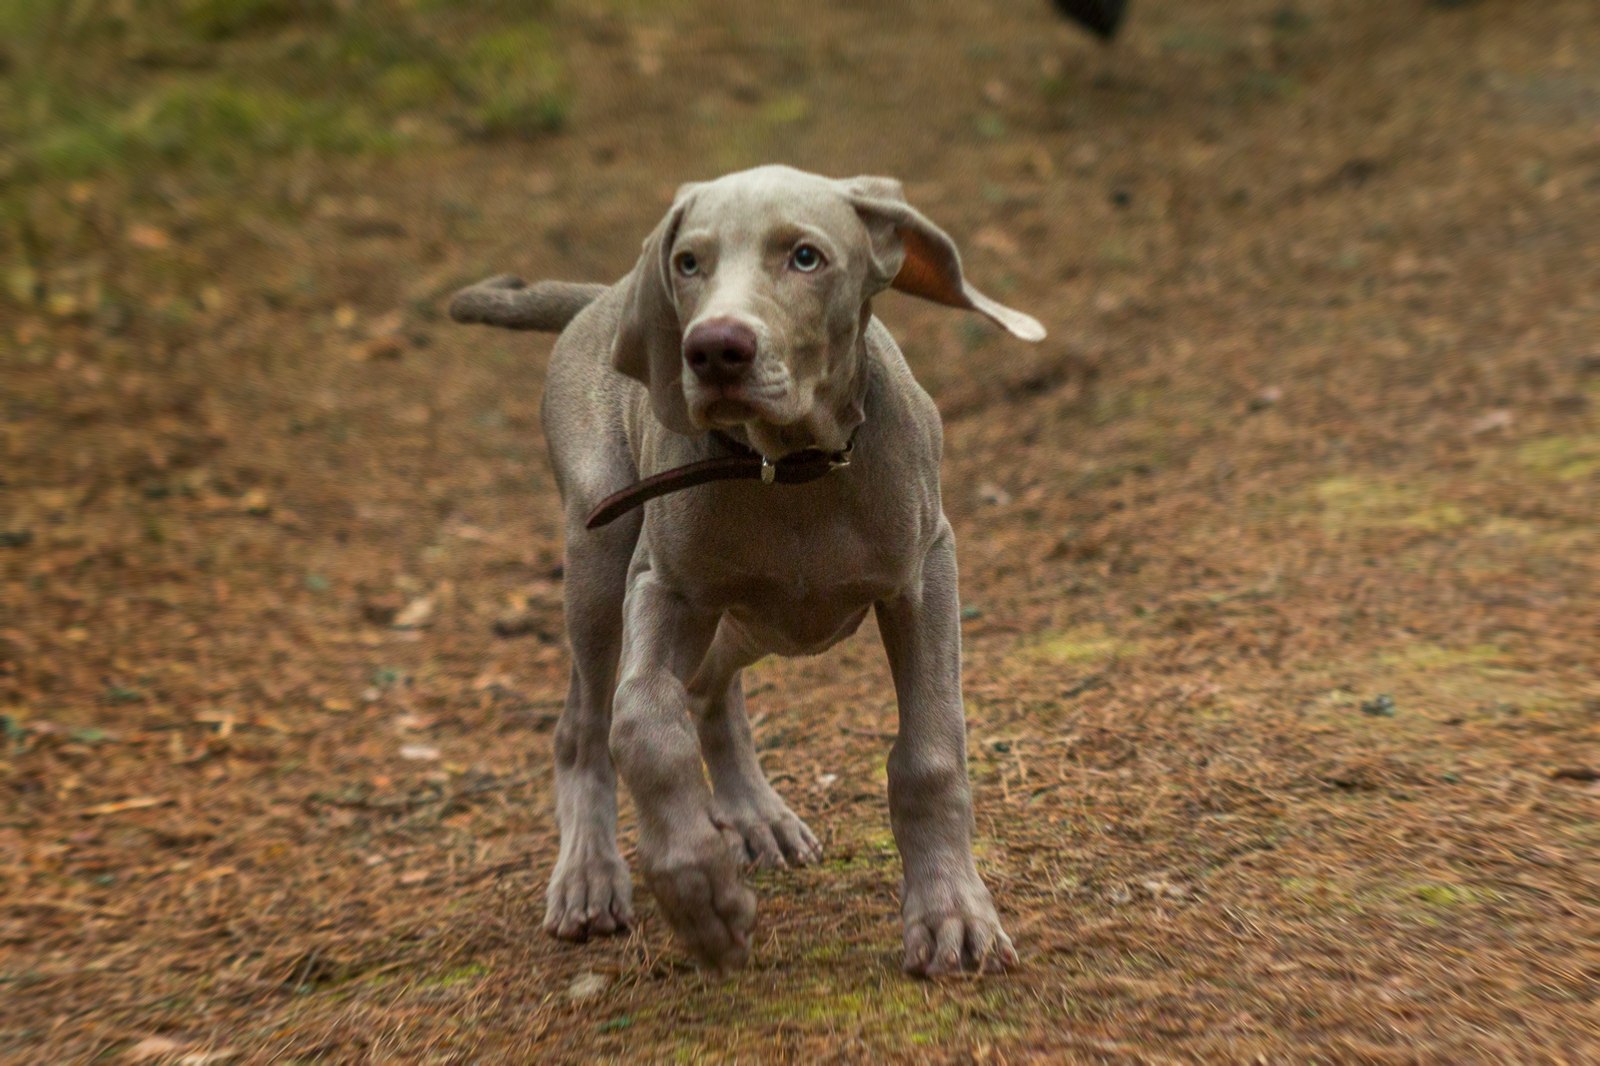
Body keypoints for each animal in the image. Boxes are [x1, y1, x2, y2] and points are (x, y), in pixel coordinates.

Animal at [451, 164, 1049, 973]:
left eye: (806, 257)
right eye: (687, 263)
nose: (712, 350)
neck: (788, 468)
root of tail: (601, 297)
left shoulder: (927, 574)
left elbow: (930, 754)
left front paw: (951, 912)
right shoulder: (663, 586)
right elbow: (640, 719)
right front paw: (698, 891)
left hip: (759, 619)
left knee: (708, 688)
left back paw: (754, 816)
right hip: (604, 561)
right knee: (585, 722)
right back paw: (589, 876)